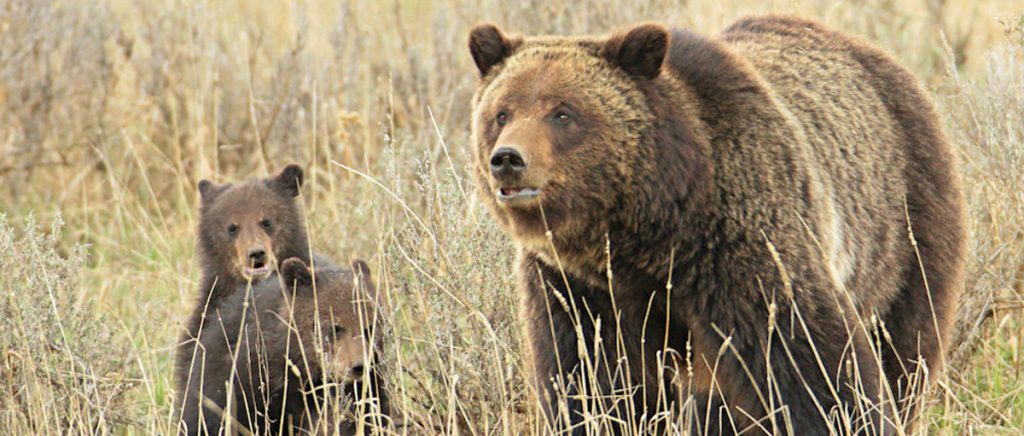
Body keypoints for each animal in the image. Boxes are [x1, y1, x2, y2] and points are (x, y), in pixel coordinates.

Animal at [467, 15, 966, 435]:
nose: (508, 159)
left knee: (905, 348)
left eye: (563, 112)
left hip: (904, 229)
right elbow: (586, 379)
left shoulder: (741, 244)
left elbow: (811, 358)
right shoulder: (576, 286)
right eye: (502, 112)